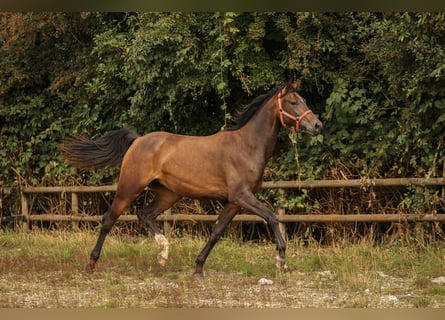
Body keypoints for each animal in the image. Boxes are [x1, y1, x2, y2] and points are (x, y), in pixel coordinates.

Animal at [59, 81, 322, 276]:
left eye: (305, 101)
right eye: (293, 102)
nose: (317, 125)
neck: (247, 146)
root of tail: (138, 140)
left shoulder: (234, 202)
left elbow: (216, 232)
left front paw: (198, 268)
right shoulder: (242, 196)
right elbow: (272, 217)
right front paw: (280, 260)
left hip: (168, 194)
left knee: (145, 214)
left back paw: (163, 253)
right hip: (130, 187)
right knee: (108, 219)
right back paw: (90, 265)